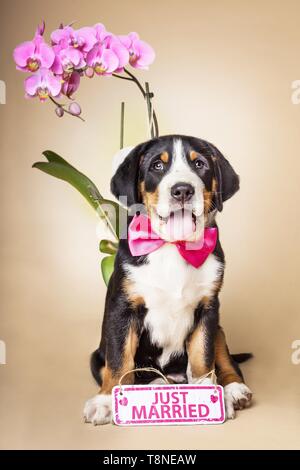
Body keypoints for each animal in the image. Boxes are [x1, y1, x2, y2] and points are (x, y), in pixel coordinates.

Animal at [83, 134, 252, 424]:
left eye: (199, 164)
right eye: (157, 166)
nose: (182, 190)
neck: (173, 246)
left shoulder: (208, 309)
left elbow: (203, 356)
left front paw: (207, 394)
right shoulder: (122, 310)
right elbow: (118, 360)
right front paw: (105, 401)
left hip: (219, 329)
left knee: (225, 359)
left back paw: (233, 390)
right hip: (98, 356)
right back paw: (154, 385)